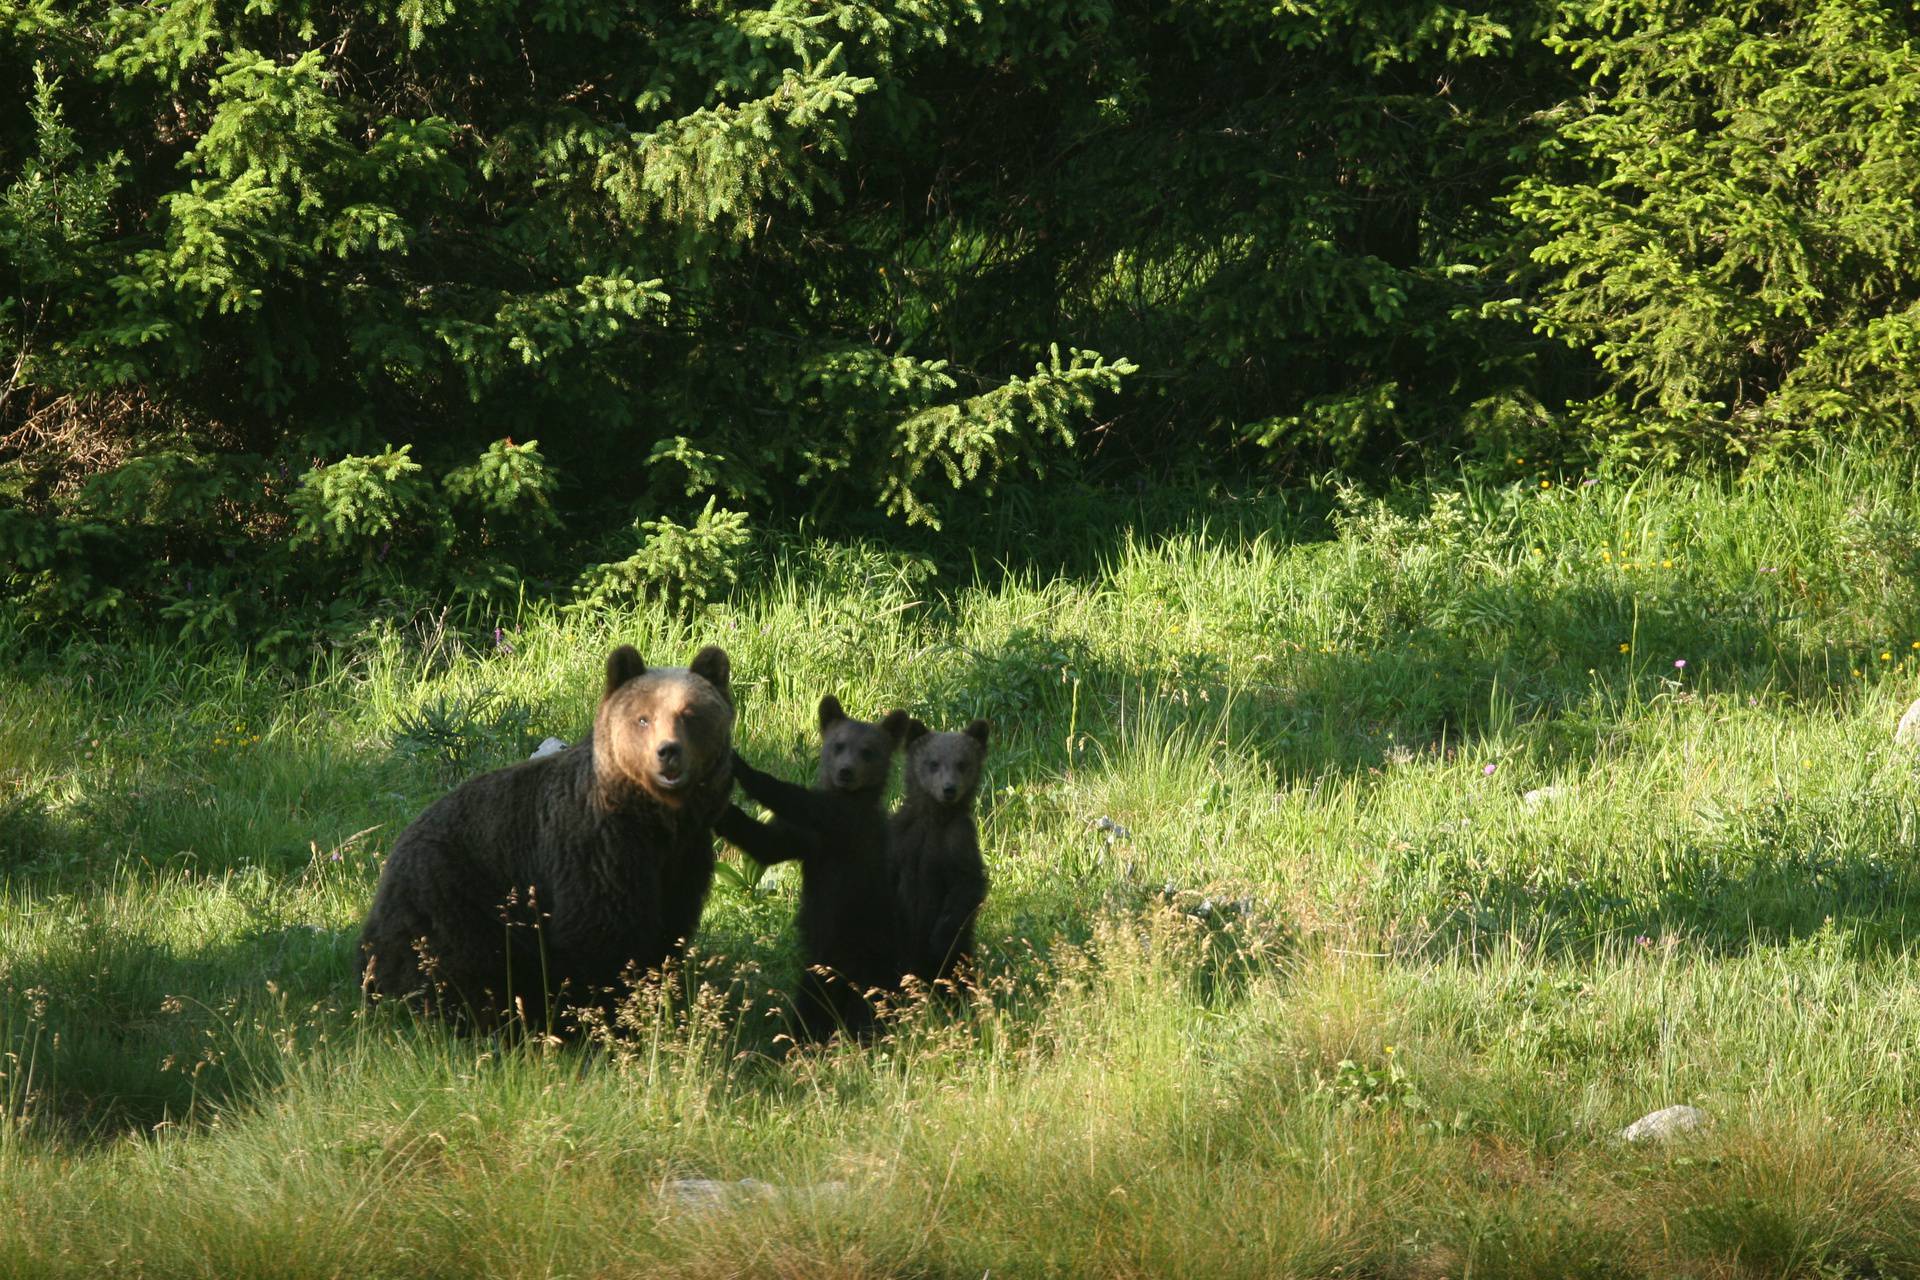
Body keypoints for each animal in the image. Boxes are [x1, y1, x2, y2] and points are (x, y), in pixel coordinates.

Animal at [353, 640, 733, 1028]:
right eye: (643, 718)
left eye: (689, 714)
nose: (668, 752)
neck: (651, 823)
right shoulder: (595, 853)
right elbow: (600, 936)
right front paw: (604, 1015)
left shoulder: (682, 860)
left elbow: (667, 931)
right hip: (453, 894)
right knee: (456, 965)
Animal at [718, 702, 910, 1043]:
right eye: (838, 745)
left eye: (868, 751)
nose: (846, 772)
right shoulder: (809, 843)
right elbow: (768, 844)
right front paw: (724, 813)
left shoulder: (845, 824)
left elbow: (801, 801)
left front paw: (743, 768)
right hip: (818, 966)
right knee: (811, 1003)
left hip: (870, 950)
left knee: (870, 1004)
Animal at [890, 721, 990, 990]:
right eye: (933, 763)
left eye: (962, 763)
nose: (949, 789)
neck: (935, 818)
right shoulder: (902, 841)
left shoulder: (958, 842)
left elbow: (966, 888)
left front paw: (940, 939)